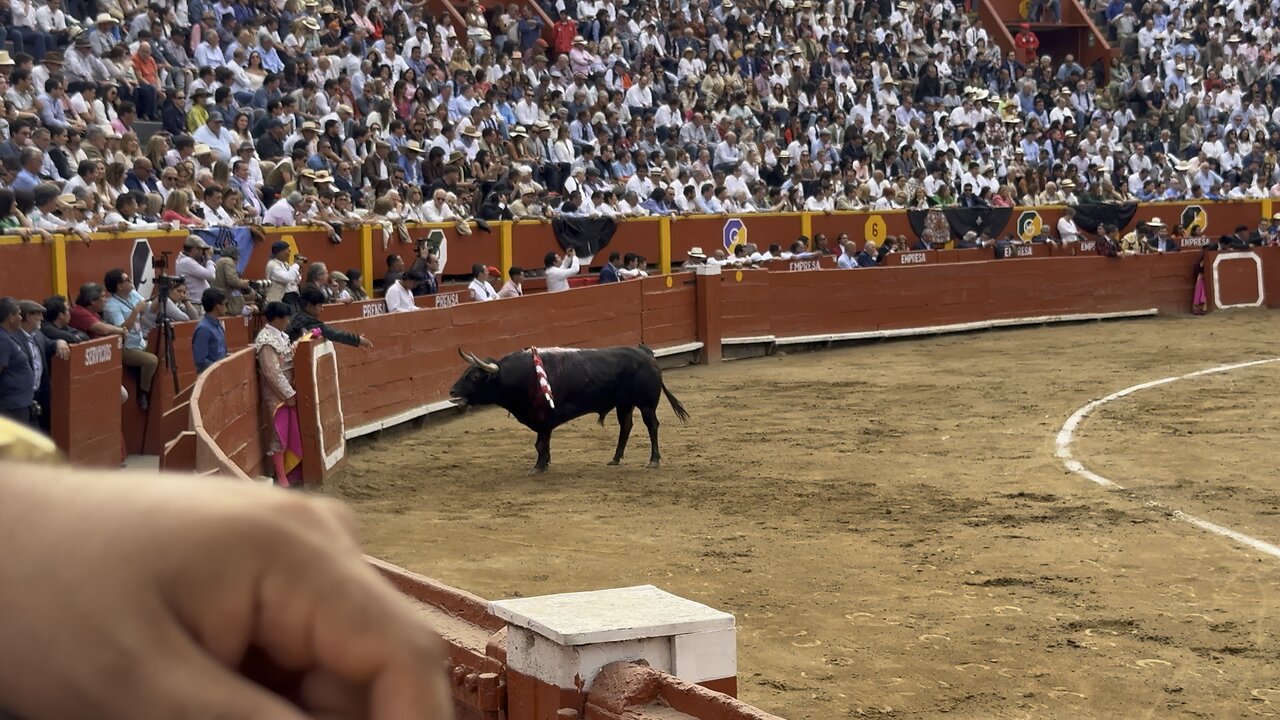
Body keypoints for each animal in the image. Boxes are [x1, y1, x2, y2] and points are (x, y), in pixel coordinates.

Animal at [450, 343, 691, 471]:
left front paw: (538, 467)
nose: (452, 392)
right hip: (624, 404)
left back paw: (653, 460)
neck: (519, 376)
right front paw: (544, 464)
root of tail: (645, 352)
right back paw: (615, 458)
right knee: (626, 426)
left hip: (647, 404)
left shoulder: (544, 418)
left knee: (652, 426)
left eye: (475, 377)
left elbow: (540, 444)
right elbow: (542, 444)